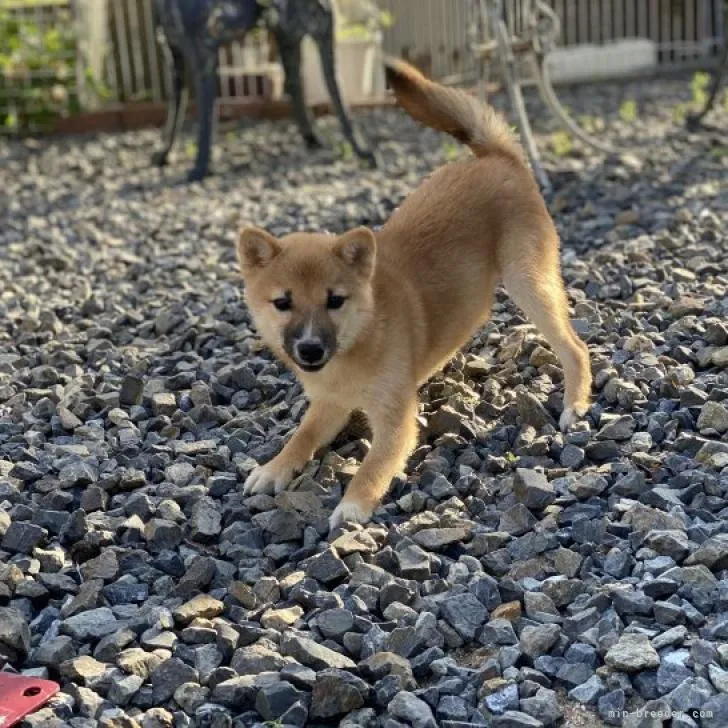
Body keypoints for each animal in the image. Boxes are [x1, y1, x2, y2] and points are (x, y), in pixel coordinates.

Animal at [237, 58, 592, 528]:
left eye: (335, 300)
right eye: (282, 302)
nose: (311, 349)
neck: (357, 346)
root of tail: (496, 157)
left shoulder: (396, 420)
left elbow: (373, 465)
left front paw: (352, 504)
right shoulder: (329, 404)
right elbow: (301, 437)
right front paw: (273, 467)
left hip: (527, 281)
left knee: (575, 348)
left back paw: (575, 404)